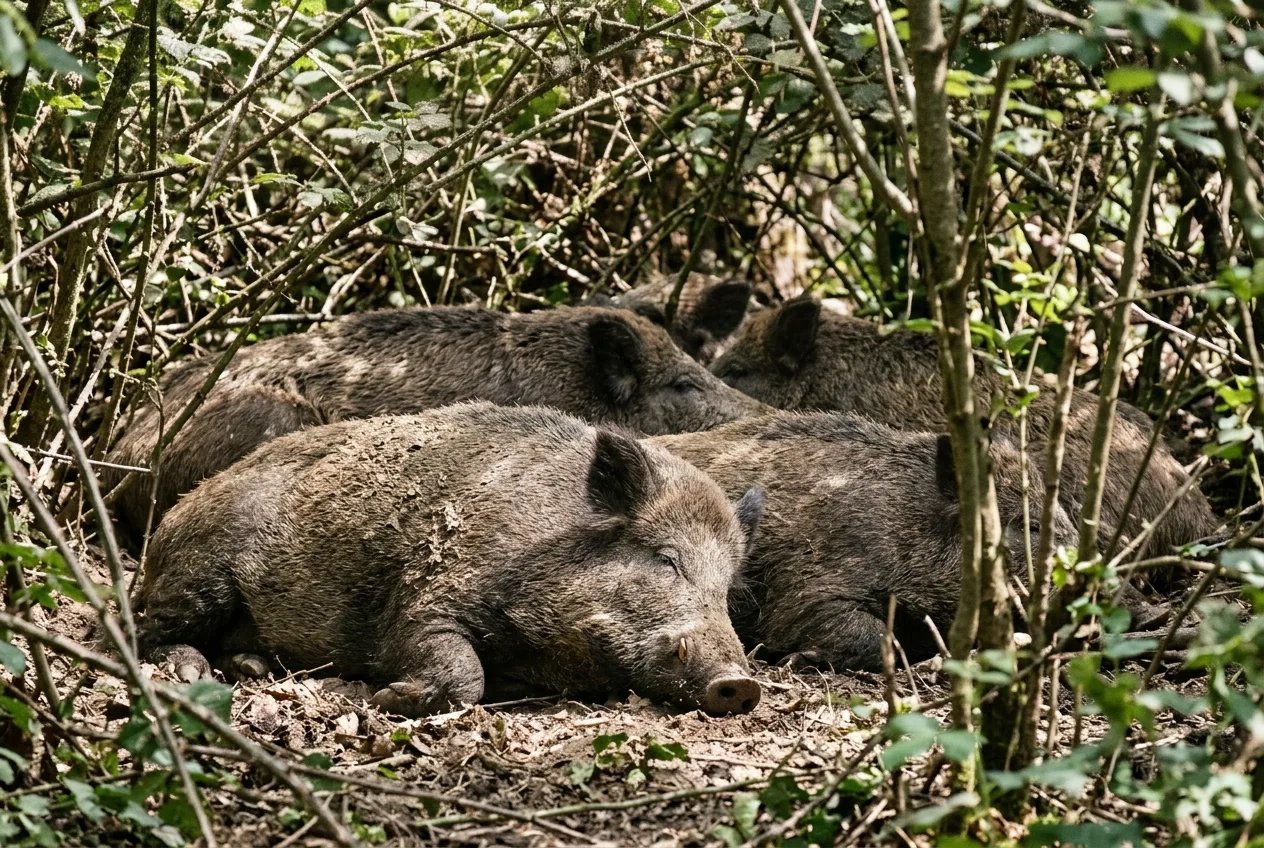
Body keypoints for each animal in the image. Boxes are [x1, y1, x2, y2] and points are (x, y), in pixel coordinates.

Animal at [132, 402, 766, 717]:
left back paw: (249, 669)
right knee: (141, 629)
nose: (739, 684)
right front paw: (384, 699)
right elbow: (462, 671)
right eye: (666, 559)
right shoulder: (424, 599)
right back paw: (191, 672)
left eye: (726, 589)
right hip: (199, 572)